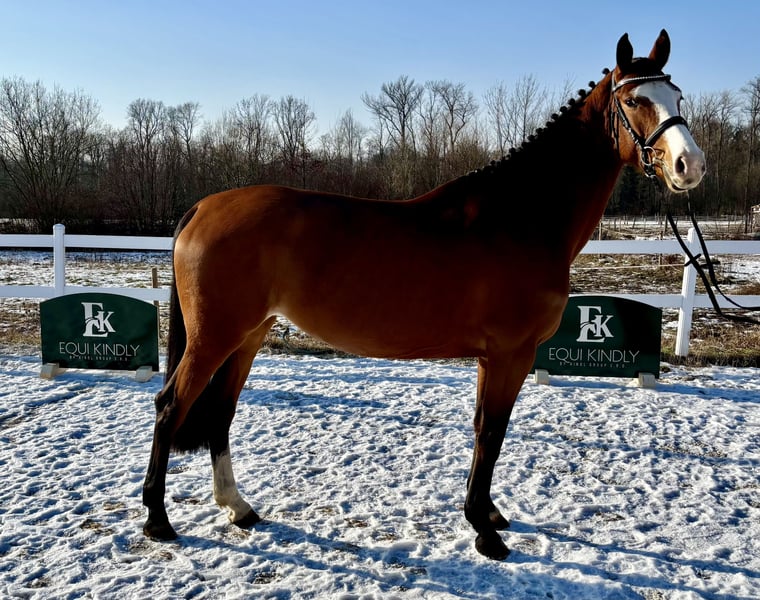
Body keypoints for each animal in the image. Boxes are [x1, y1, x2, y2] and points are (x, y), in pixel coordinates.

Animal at [142, 30, 705, 560]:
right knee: (172, 406)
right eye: (634, 100)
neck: (523, 216)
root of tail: (203, 207)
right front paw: (485, 532)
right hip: (215, 337)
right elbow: (493, 432)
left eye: (677, 95)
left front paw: (487, 514)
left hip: (249, 335)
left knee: (221, 412)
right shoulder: (511, 354)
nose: (689, 165)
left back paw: (237, 508)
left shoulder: (491, 358)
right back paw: (157, 520)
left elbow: (482, 429)